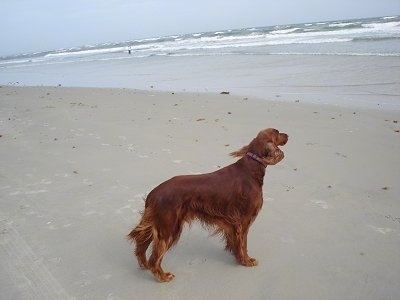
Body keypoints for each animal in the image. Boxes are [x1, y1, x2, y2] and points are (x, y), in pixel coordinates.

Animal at [128, 128, 288, 282]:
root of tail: (153, 194)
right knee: (155, 258)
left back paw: (144, 264)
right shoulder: (244, 221)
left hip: (157, 225)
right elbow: (243, 244)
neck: (251, 168)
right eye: (277, 131)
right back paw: (163, 276)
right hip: (168, 228)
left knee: (141, 245)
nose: (288, 135)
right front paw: (247, 261)